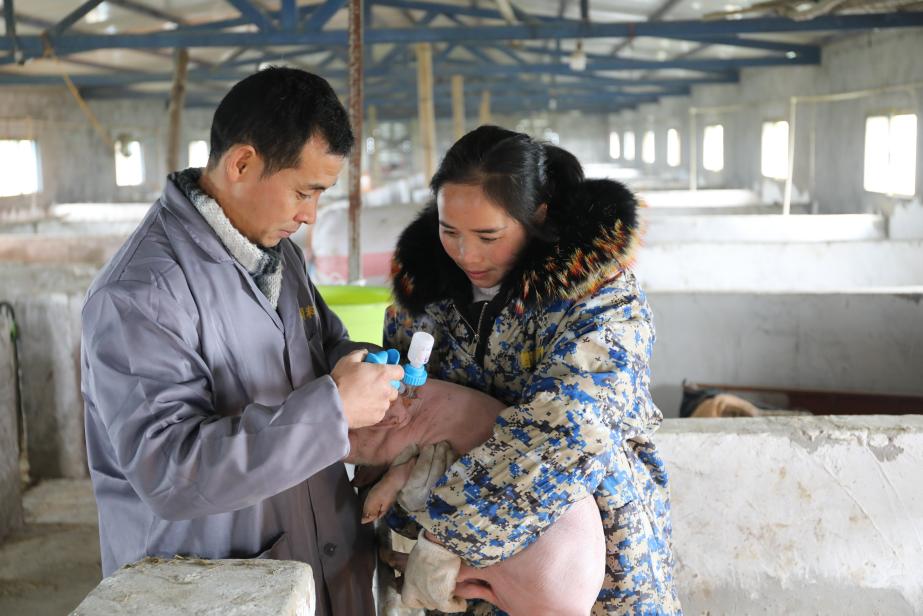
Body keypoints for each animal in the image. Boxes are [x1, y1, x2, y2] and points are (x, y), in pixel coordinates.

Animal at [346, 378, 606, 616]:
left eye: (374, 423)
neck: (422, 420)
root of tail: (581, 606)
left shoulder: (440, 448)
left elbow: (403, 469)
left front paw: (367, 514)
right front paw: (358, 482)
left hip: (494, 564)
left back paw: (392, 563)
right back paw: (393, 568)